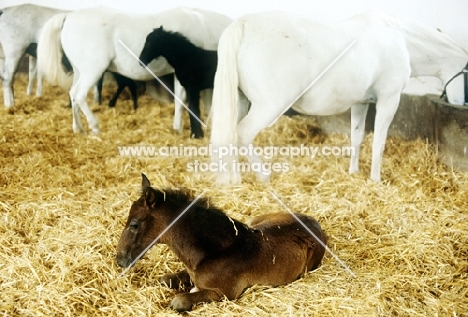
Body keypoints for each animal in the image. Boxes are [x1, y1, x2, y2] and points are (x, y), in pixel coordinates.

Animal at [37, 6, 231, 134]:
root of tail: (68, 17)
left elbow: (179, 99)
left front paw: (177, 127)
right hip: (92, 72)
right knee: (79, 95)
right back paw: (94, 126)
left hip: (80, 72)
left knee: (73, 95)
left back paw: (78, 128)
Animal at [115, 174, 328, 310]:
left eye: (134, 224)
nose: (120, 260)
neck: (214, 253)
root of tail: (315, 222)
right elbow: (166, 280)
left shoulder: (225, 293)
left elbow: (179, 301)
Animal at [211, 11, 468, 183]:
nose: (459, 104)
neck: (400, 40)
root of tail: (243, 24)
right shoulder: (389, 99)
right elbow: (379, 141)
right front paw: (375, 179)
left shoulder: (361, 102)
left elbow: (357, 137)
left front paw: (353, 172)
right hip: (269, 107)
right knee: (243, 134)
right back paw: (263, 175)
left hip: (241, 102)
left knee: (231, 135)